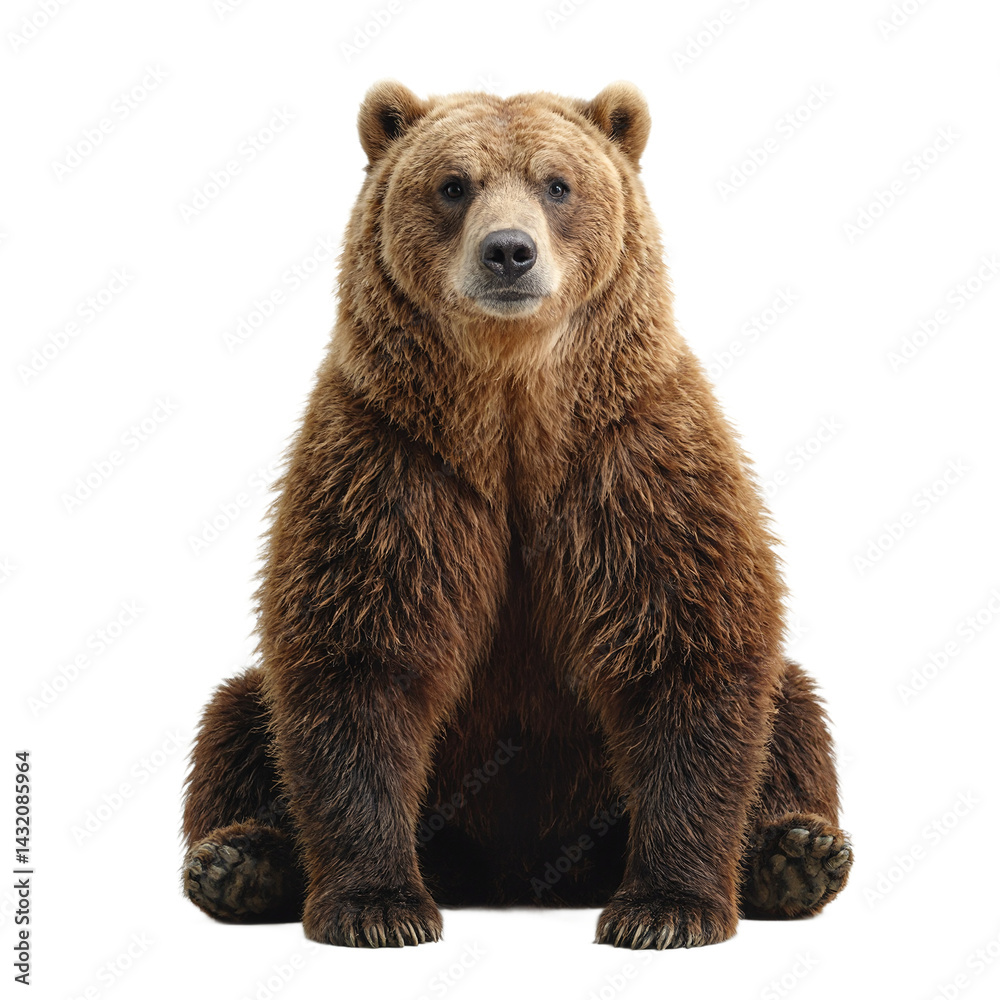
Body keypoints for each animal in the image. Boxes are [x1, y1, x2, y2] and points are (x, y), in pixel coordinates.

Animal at [181, 81, 852, 950]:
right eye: (453, 184)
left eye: (557, 183)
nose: (508, 252)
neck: (509, 406)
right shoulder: (392, 466)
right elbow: (358, 659)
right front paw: (377, 906)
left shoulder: (632, 463)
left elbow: (687, 652)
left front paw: (666, 908)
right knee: (234, 717)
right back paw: (238, 864)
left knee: (796, 710)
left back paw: (795, 854)